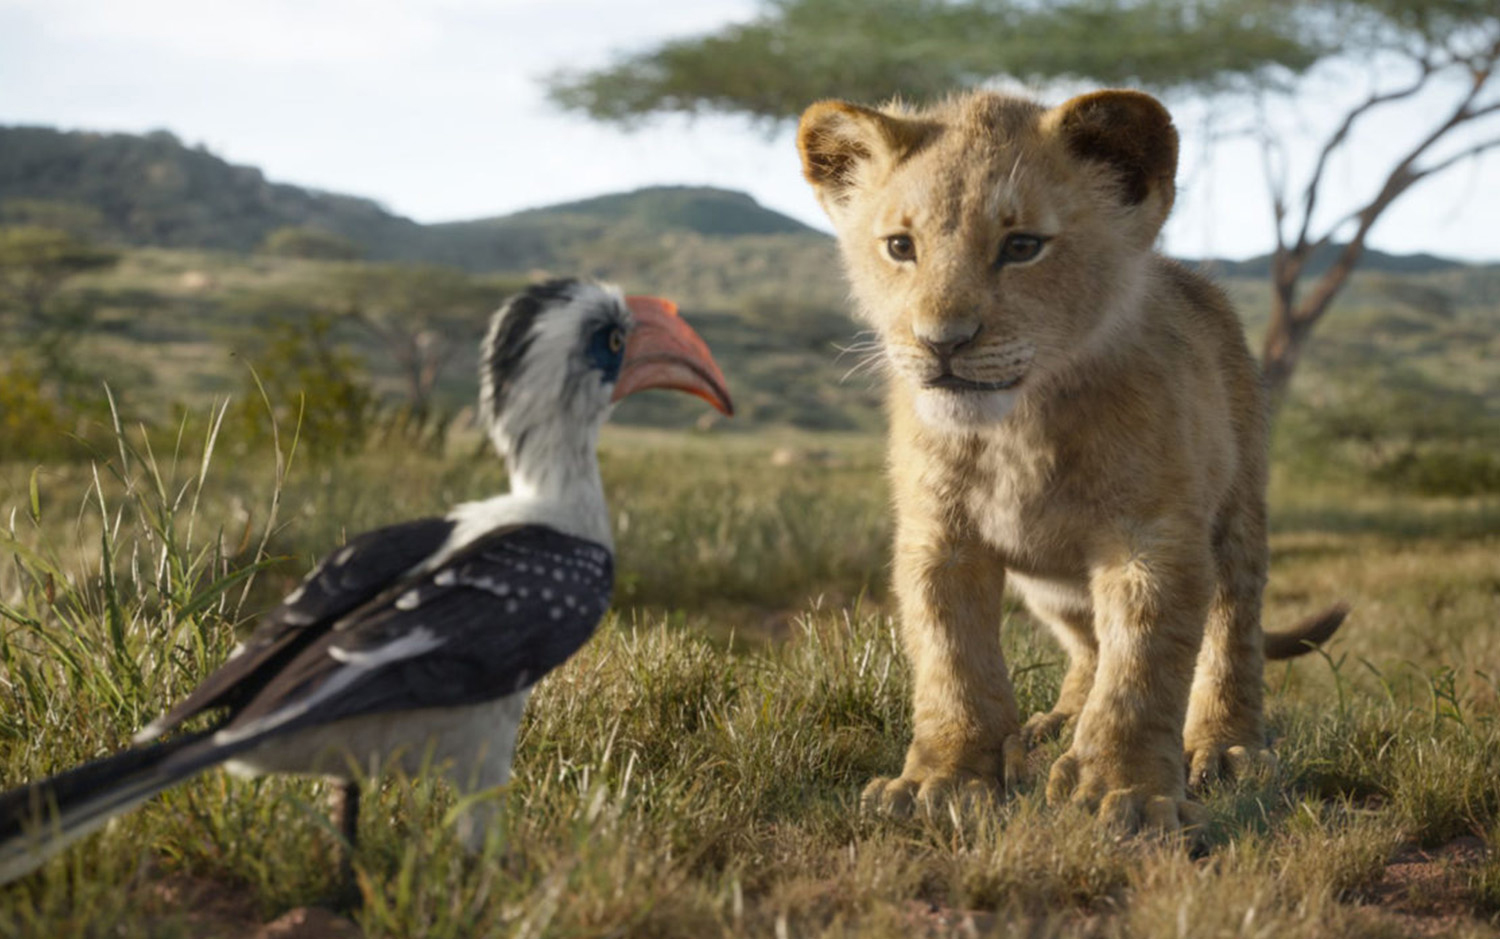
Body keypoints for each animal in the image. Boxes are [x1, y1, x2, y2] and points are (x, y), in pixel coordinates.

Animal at [796, 88, 1345, 831]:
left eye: (1022, 246)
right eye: (900, 247)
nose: (942, 342)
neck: (1017, 430)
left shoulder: (1152, 538)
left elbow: (1142, 667)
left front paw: (1126, 791)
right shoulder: (938, 538)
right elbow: (952, 660)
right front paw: (942, 780)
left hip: (1237, 514)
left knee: (1232, 629)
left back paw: (1225, 747)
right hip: (1050, 586)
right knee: (1088, 644)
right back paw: (1054, 724)